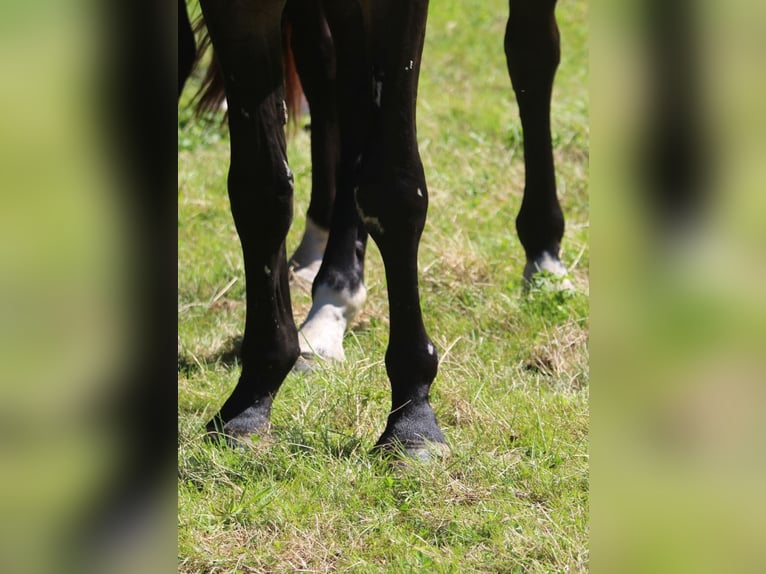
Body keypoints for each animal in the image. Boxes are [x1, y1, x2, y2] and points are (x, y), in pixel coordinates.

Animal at [178, 0, 564, 460]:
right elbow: (261, 192)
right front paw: (251, 402)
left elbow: (392, 188)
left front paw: (413, 421)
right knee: (342, 89)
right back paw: (330, 294)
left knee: (531, 52)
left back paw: (544, 253)